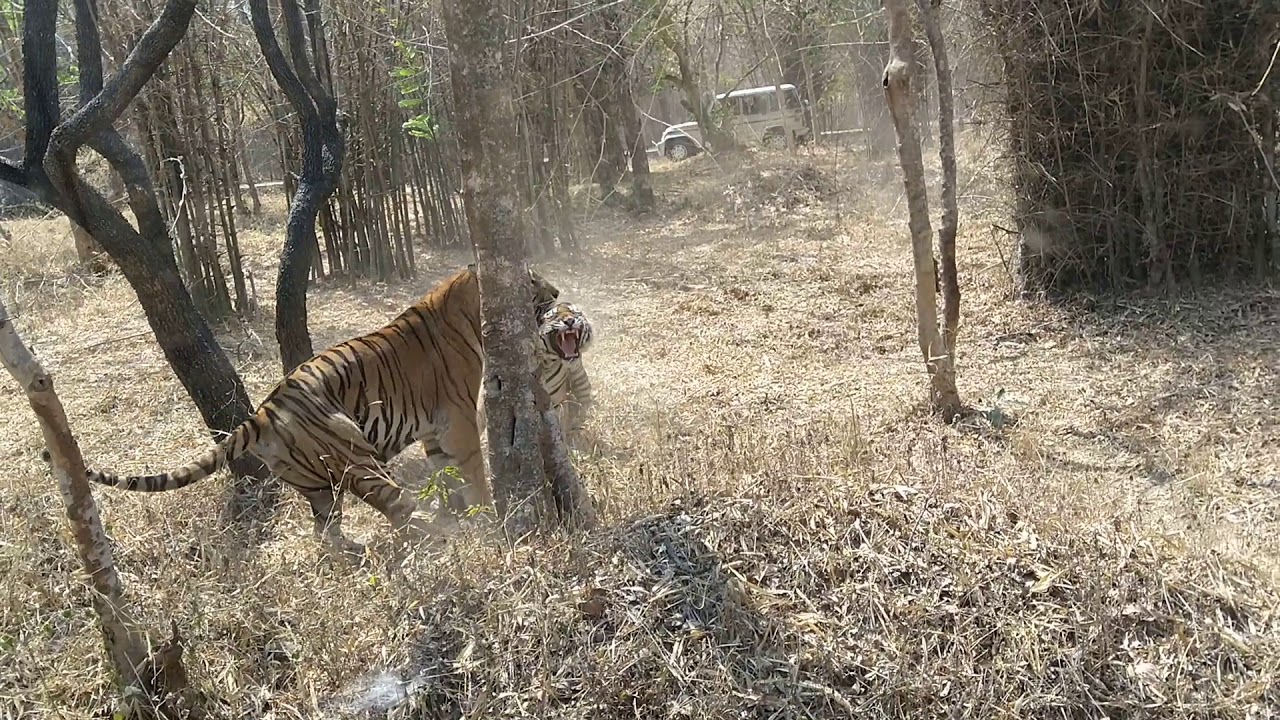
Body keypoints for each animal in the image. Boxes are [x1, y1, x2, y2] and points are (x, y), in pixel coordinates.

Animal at [78, 264, 561, 558]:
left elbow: (446, 475)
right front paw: (484, 515)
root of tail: (265, 411)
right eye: (531, 282)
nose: (556, 291)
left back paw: (363, 551)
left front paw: (460, 510)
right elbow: (472, 470)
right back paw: (435, 537)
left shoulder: (433, 431)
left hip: (318, 486)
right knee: (397, 508)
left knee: (325, 533)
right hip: (357, 451)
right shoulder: (457, 418)